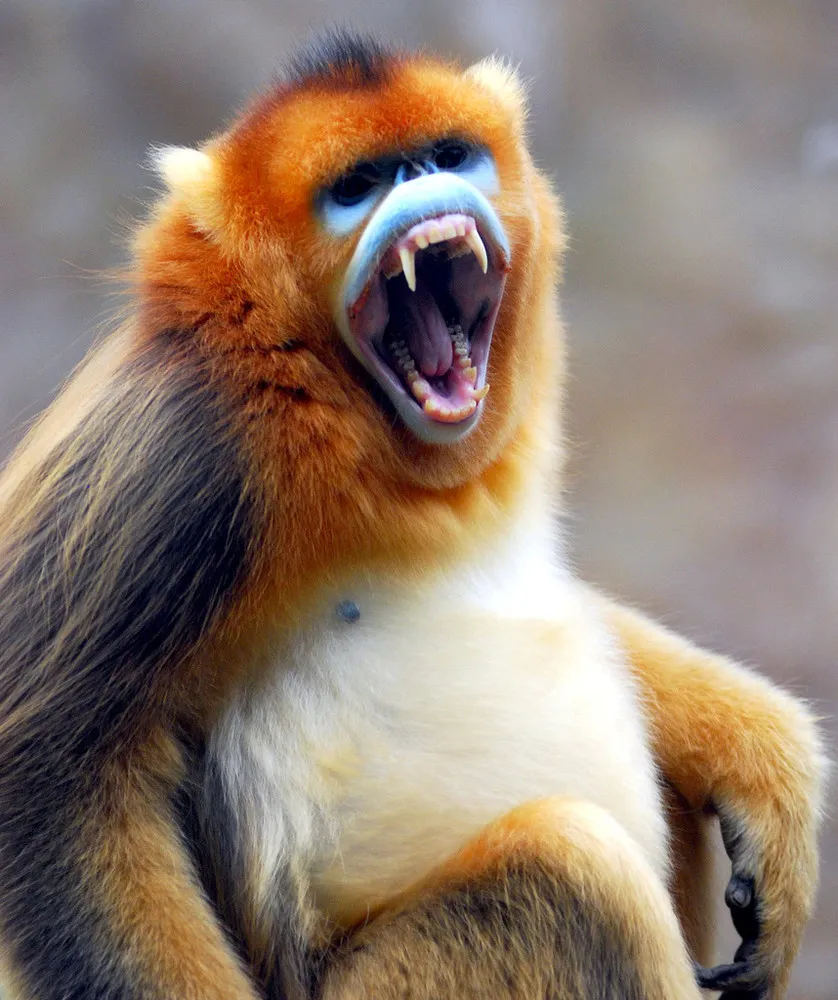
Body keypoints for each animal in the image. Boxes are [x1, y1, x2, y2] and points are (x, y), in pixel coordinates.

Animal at [0, 30, 825, 1000]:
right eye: (359, 185)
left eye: (446, 157)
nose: (426, 191)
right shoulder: (186, 447)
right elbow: (47, 770)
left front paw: (759, 759)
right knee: (576, 868)